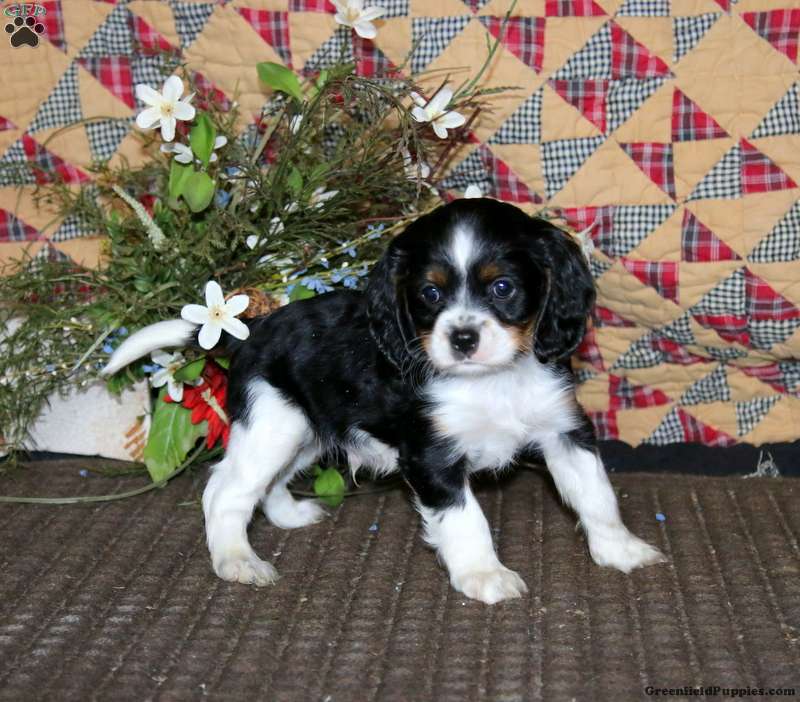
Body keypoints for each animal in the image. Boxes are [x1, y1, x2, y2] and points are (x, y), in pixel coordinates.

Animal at [103, 198, 665, 604]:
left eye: (503, 288)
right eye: (430, 295)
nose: (462, 338)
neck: (489, 381)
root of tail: (251, 328)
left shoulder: (564, 431)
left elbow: (597, 496)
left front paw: (621, 550)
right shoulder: (432, 458)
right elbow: (467, 519)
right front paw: (485, 574)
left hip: (305, 432)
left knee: (271, 483)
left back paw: (289, 516)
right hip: (271, 425)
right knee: (225, 491)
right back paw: (236, 560)